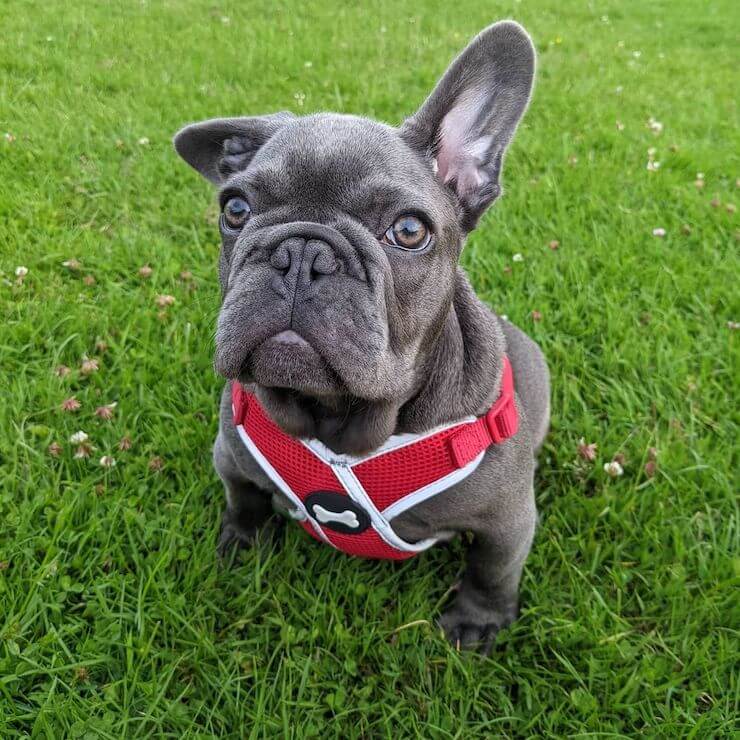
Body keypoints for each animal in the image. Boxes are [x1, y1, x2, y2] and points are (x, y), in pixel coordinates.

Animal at [175, 20, 548, 652]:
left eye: (409, 230)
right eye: (235, 209)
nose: (302, 254)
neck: (337, 420)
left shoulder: (506, 521)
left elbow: (492, 570)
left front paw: (477, 621)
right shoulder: (230, 454)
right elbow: (244, 499)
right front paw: (242, 545)